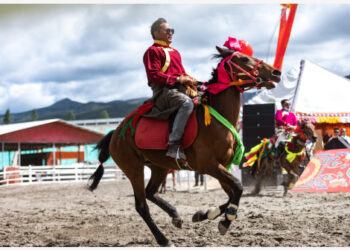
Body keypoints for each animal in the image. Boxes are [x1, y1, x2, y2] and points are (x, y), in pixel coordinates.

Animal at [88, 47, 282, 246]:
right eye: (243, 59)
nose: (276, 72)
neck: (216, 120)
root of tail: (116, 133)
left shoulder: (223, 166)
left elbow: (233, 193)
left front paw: (204, 214)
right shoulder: (208, 165)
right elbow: (238, 186)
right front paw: (225, 221)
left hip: (158, 167)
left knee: (150, 193)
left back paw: (175, 216)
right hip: (133, 169)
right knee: (141, 205)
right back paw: (163, 239)